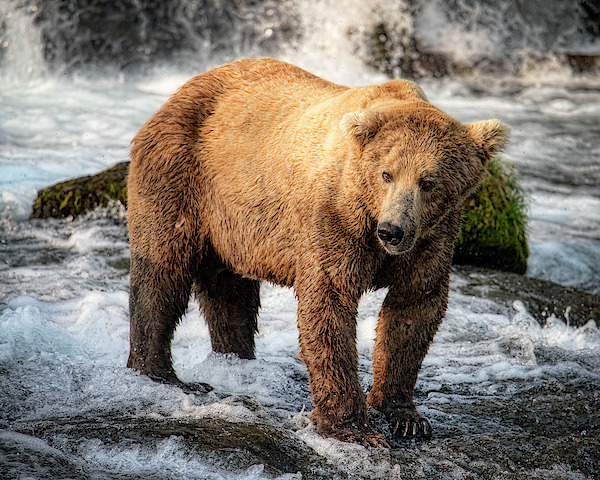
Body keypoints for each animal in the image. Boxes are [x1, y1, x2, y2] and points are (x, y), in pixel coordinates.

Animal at [125, 57, 506, 446]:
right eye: (387, 174)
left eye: (428, 182)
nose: (392, 231)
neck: (368, 211)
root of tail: (183, 88)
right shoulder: (334, 217)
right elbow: (329, 304)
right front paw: (353, 428)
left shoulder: (432, 237)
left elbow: (414, 307)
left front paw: (405, 416)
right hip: (182, 173)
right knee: (162, 272)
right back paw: (159, 371)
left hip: (232, 223)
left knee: (230, 290)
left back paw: (236, 359)